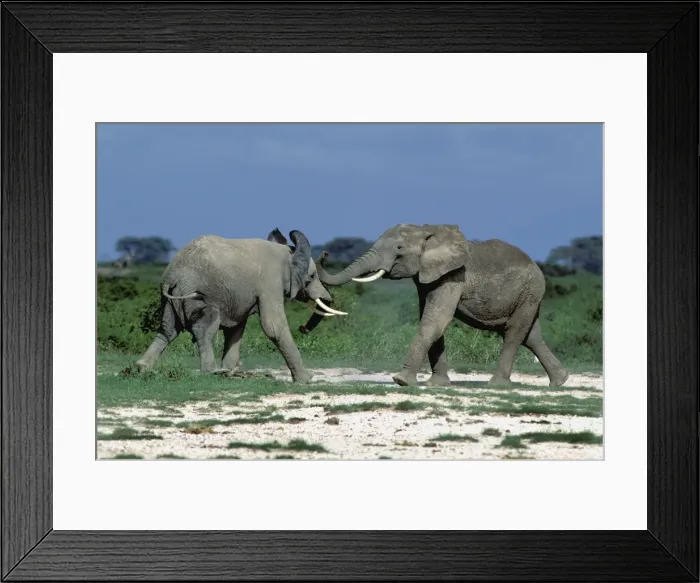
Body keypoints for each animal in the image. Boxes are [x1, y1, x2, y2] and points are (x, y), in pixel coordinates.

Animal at [135, 228, 347, 383]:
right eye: (311, 277)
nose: (303, 328)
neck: (287, 253)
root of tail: (172, 278)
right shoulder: (269, 282)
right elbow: (273, 327)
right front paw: (306, 379)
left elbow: (236, 329)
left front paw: (230, 370)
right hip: (196, 295)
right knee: (206, 329)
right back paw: (211, 372)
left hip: (171, 299)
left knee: (167, 330)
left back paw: (141, 368)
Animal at [315, 223, 569, 388]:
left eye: (399, 249)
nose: (325, 253)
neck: (427, 230)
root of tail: (537, 267)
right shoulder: (427, 278)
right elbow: (431, 320)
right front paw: (437, 384)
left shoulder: (453, 275)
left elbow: (435, 319)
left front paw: (401, 381)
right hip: (527, 296)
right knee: (531, 336)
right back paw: (560, 381)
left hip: (530, 292)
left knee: (514, 334)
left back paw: (497, 385)